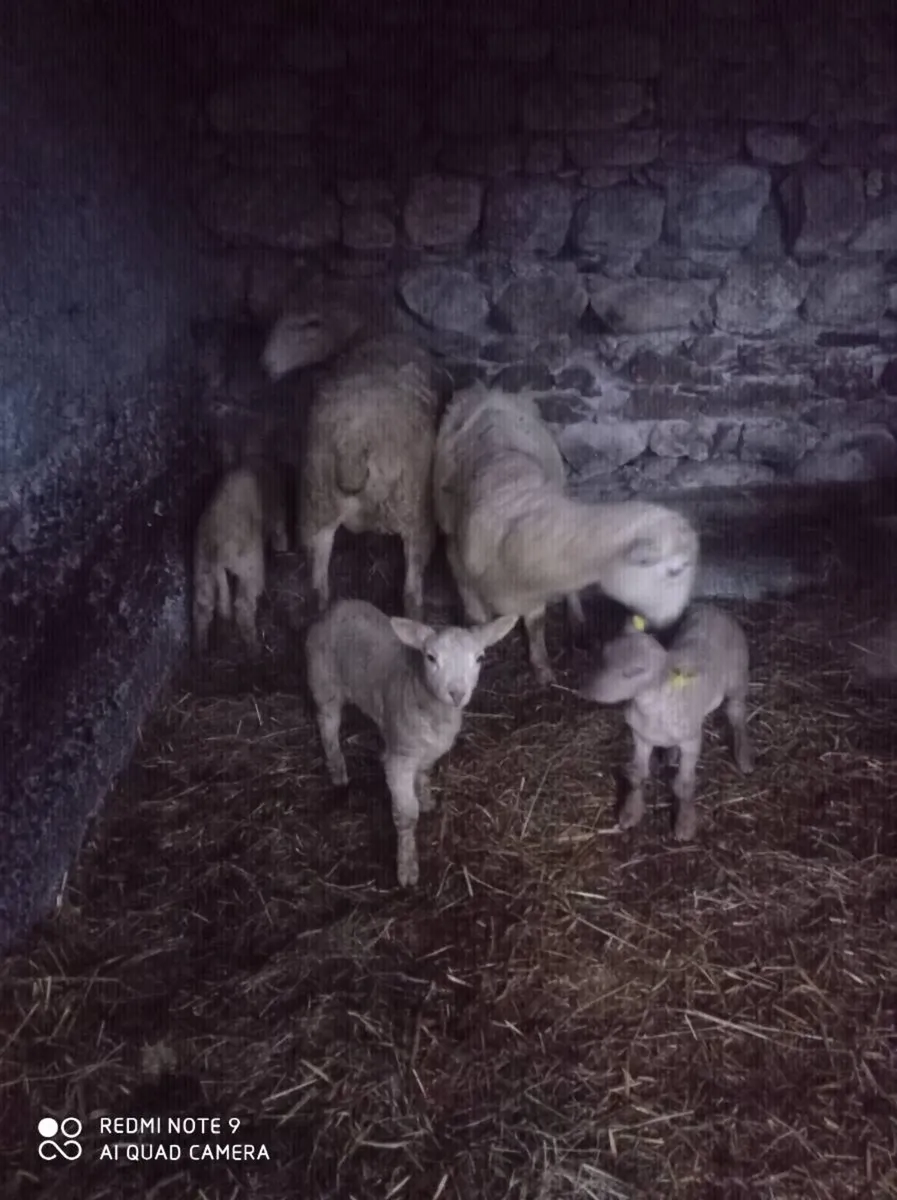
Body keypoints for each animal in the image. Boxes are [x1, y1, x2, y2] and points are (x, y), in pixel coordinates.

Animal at [306, 598, 517, 886]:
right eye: (431, 657)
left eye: (479, 657)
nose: (456, 694)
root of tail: (336, 606)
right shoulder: (399, 759)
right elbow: (407, 815)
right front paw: (407, 867)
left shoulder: (430, 751)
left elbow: (424, 774)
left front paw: (426, 799)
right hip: (324, 683)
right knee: (327, 725)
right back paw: (338, 772)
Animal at [433, 383, 700, 686]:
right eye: (676, 570)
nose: (672, 622)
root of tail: (489, 391)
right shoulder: (456, 557)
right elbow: (476, 619)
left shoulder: (533, 588)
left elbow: (536, 623)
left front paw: (542, 668)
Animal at [578, 605, 754, 842]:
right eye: (604, 653)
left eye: (636, 671)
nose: (587, 689)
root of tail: (713, 607)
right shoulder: (640, 736)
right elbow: (637, 775)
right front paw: (630, 812)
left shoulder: (691, 741)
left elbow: (684, 786)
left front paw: (685, 824)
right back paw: (670, 754)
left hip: (737, 678)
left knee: (736, 714)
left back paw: (744, 756)